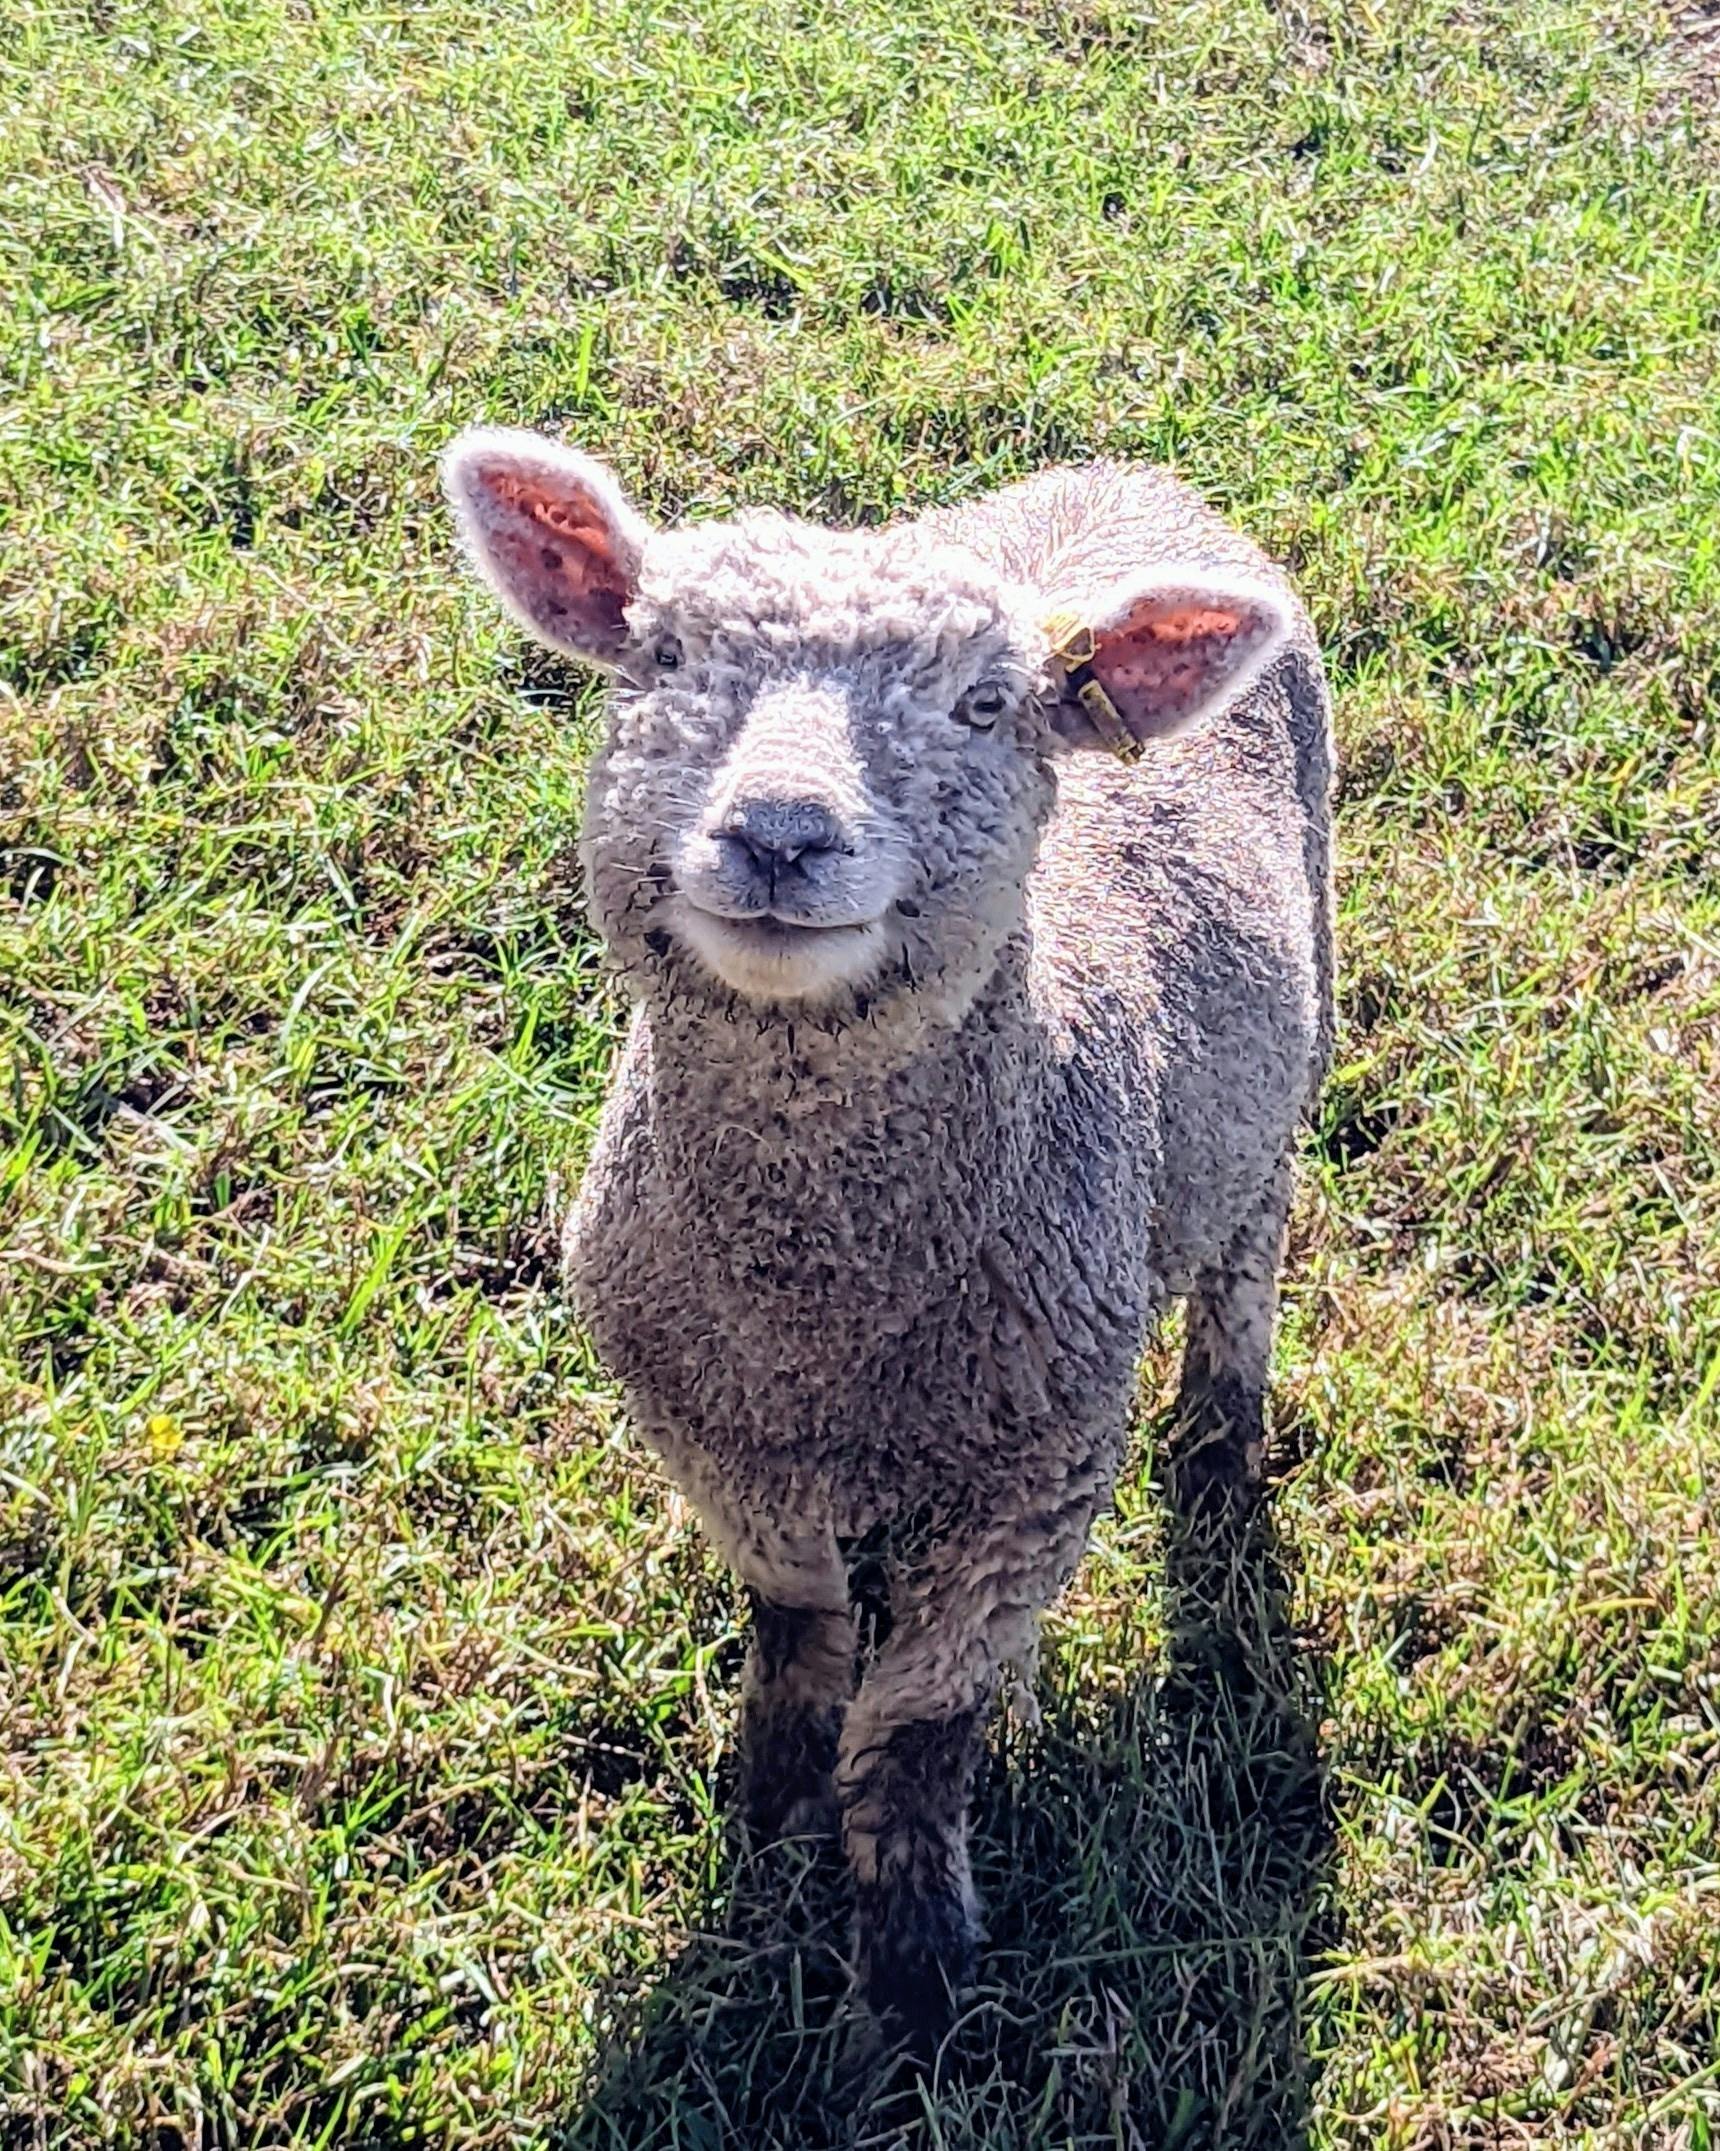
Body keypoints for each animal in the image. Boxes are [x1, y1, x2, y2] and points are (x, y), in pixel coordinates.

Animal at [441, 429, 1335, 2052]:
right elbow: (795, 1624)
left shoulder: (1041, 1465)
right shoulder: (705, 1421)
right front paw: (778, 1800)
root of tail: (1133, 473)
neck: (826, 1310)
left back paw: (1221, 1433)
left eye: (988, 706)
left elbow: (922, 1721)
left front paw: (917, 1969)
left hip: (1299, 1018)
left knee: (1248, 1243)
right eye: (661, 653)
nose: (780, 833)